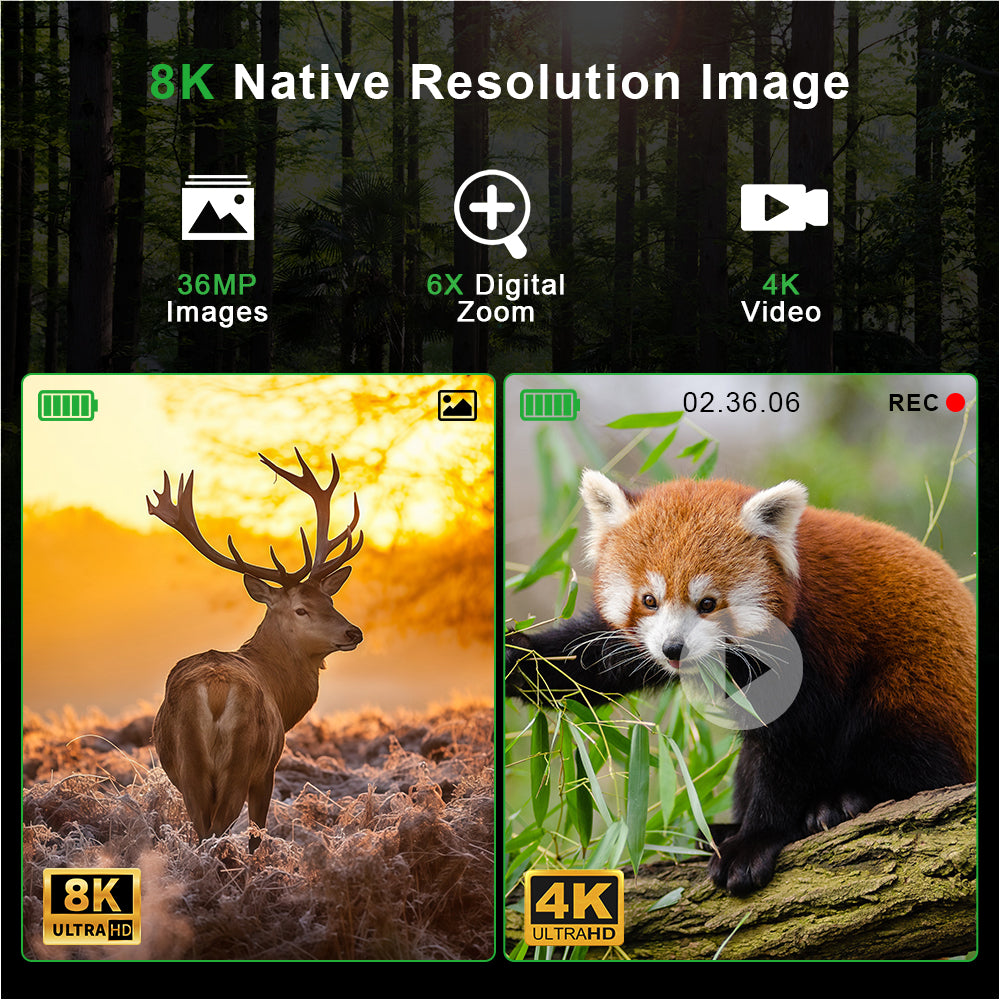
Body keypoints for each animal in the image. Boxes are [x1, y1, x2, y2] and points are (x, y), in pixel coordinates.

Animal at [148, 447, 363, 851]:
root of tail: (215, 691)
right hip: (242, 760)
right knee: (218, 830)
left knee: (202, 831)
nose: (353, 631)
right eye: (301, 609)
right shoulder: (269, 768)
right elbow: (256, 834)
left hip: (189, 767)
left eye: (330, 599)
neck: (281, 692)